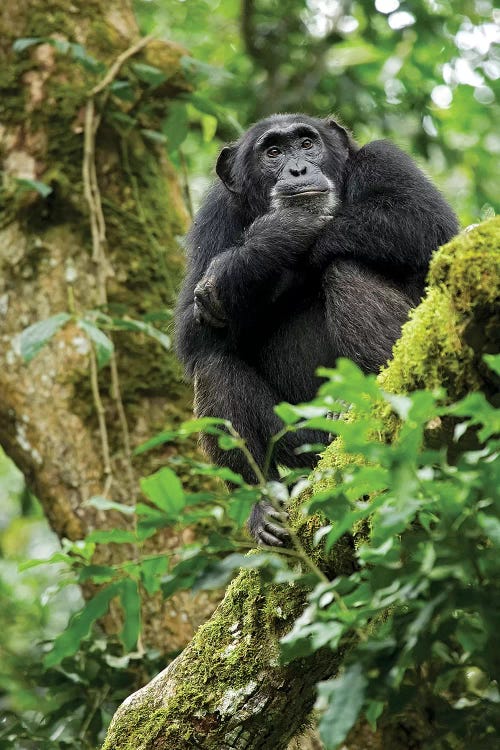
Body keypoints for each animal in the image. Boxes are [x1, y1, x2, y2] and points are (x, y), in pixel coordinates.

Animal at [175, 113, 458, 548]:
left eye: (308, 143)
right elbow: (193, 330)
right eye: (273, 152)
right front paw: (273, 239)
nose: (297, 169)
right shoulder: (214, 217)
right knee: (212, 366)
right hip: (301, 443)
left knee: (345, 269)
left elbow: (421, 220)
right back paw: (262, 508)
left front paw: (259, 256)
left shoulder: (386, 160)